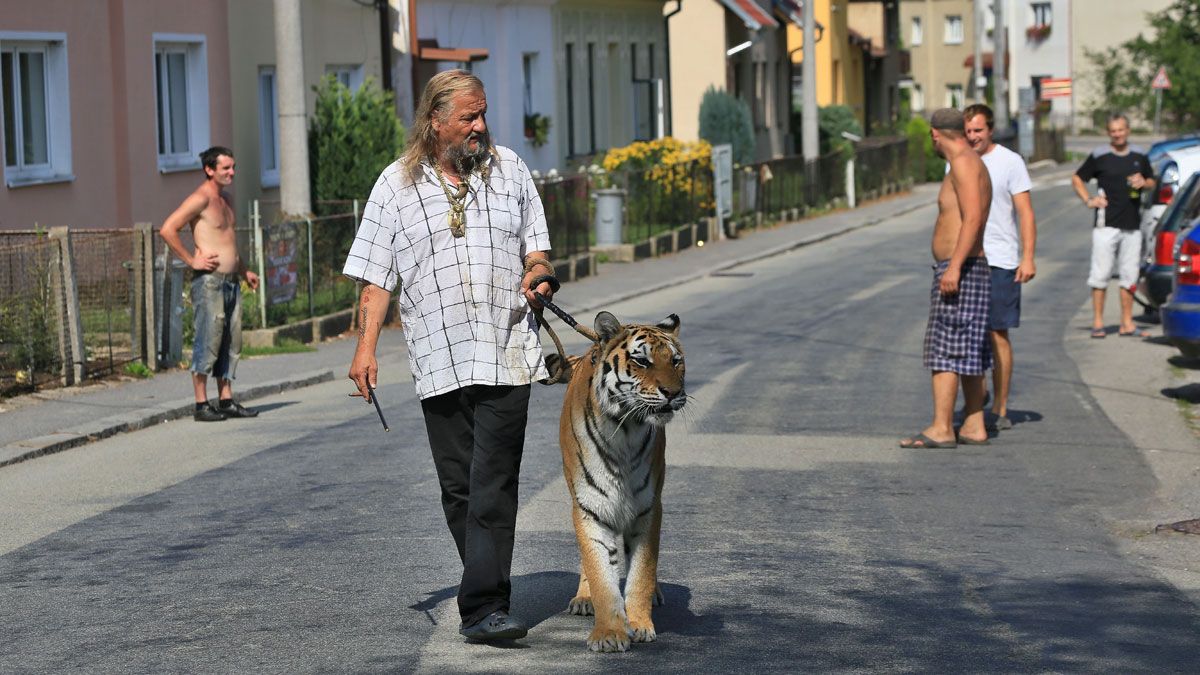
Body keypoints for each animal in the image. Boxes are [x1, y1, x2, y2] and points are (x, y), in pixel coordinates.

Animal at [543, 310, 686, 653]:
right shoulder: (590, 508)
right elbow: (600, 574)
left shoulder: (648, 509)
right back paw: (584, 599)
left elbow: (641, 572)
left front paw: (640, 624)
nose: (673, 393)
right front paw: (609, 634)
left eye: (676, 361)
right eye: (643, 361)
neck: (626, 430)